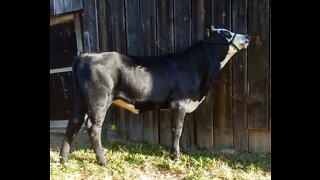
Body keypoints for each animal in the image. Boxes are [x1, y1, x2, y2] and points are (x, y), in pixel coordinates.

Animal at [59, 25, 250, 166]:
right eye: (225, 33)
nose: (247, 37)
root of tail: (86, 55)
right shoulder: (179, 103)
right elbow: (177, 130)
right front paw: (176, 157)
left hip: (81, 100)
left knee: (73, 123)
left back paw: (63, 159)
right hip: (98, 100)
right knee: (92, 127)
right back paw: (103, 161)